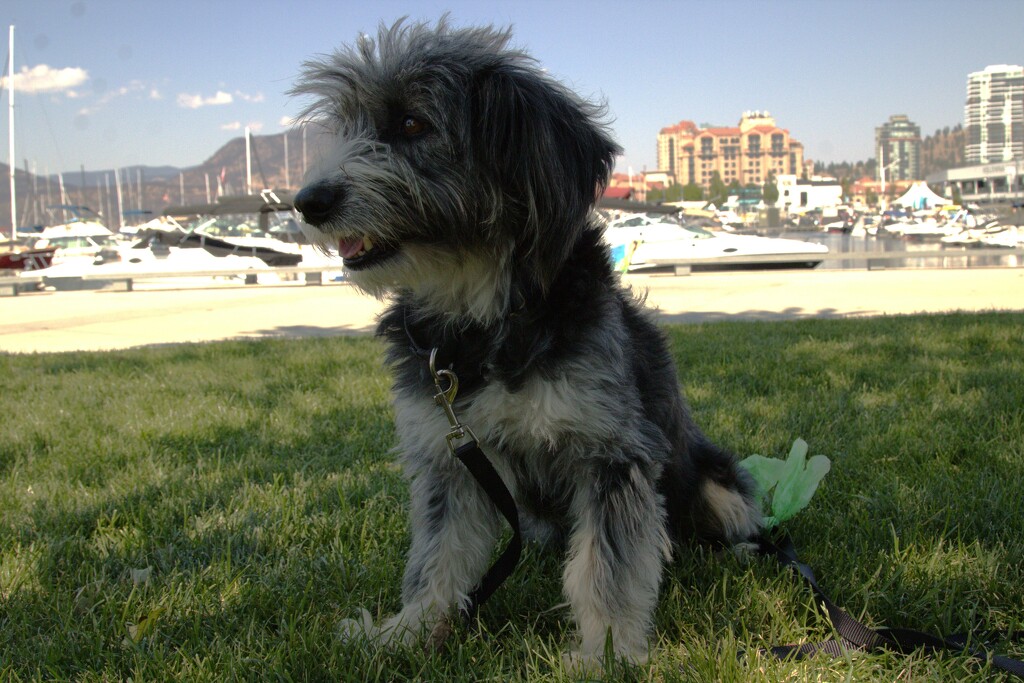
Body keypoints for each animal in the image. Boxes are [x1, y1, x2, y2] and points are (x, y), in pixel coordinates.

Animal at [292, 17, 757, 667]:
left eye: (411, 124)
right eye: (345, 127)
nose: (307, 201)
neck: (483, 321)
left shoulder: (609, 452)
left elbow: (604, 567)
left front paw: (605, 654)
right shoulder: (449, 454)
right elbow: (437, 556)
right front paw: (408, 630)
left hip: (718, 485)